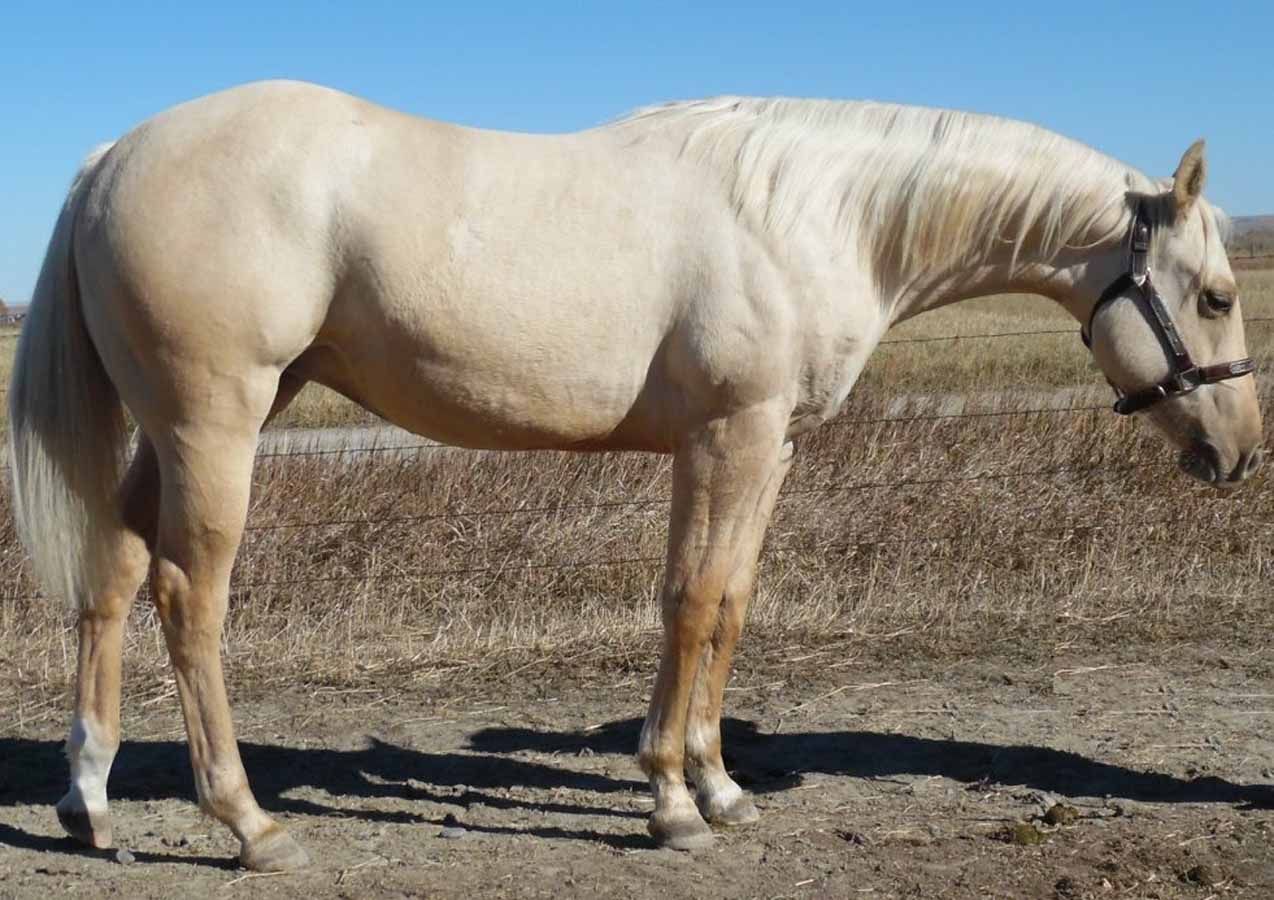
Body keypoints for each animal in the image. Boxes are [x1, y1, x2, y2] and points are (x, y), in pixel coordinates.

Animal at [8, 81, 1261, 871]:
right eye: (1211, 294)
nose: (1237, 453)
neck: (813, 213)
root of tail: (108, 159)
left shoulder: (768, 447)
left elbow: (731, 606)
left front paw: (719, 787)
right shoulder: (726, 437)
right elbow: (690, 604)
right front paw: (668, 800)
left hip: (181, 433)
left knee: (112, 572)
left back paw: (88, 800)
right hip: (216, 427)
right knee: (188, 598)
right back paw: (249, 826)